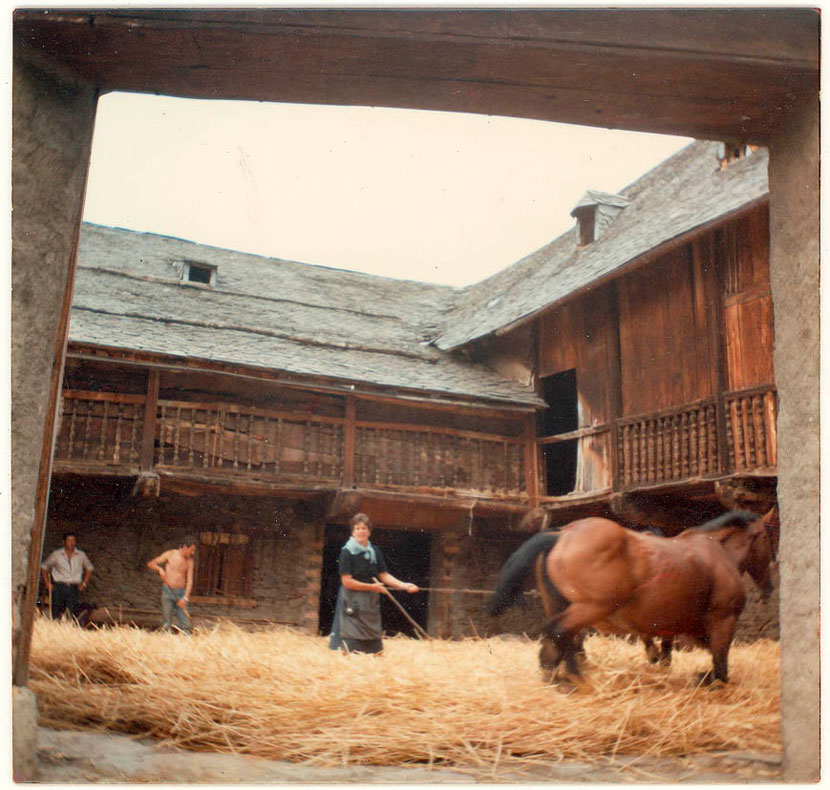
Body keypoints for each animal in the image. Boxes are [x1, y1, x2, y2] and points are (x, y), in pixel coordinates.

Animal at [490, 512, 776, 688]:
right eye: (767, 538)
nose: (769, 587)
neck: (718, 553)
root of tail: (560, 534)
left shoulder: (687, 627)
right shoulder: (722, 620)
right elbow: (720, 666)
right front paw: (706, 679)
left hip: (564, 606)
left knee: (563, 637)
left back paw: (557, 672)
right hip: (590, 608)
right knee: (561, 632)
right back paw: (573, 677)